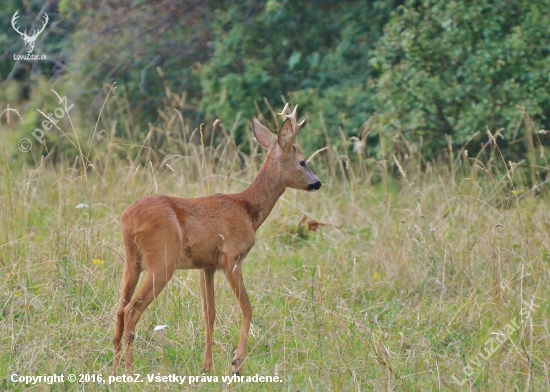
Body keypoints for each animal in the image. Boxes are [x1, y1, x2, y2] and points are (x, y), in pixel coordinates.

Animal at [113, 105, 324, 376]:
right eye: (302, 161)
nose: (316, 183)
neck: (247, 209)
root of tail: (128, 218)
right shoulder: (231, 256)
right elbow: (247, 308)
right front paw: (236, 363)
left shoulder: (207, 266)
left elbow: (209, 313)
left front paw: (207, 365)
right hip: (162, 261)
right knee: (132, 309)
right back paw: (130, 370)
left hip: (132, 261)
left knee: (120, 308)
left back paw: (115, 367)